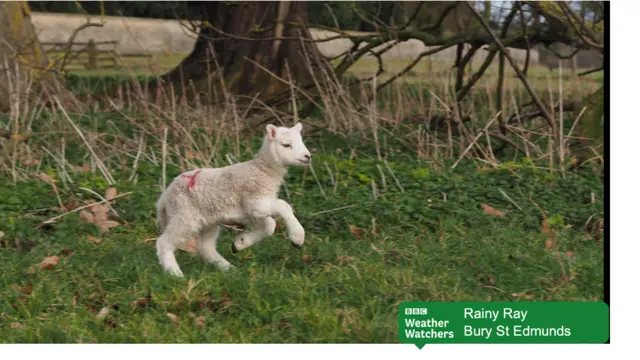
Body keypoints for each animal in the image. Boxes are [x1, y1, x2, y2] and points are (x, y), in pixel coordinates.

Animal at [156, 122, 314, 278]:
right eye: (286, 145)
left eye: (301, 141)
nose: (308, 156)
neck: (263, 171)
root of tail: (164, 196)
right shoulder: (254, 201)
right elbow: (284, 206)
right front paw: (297, 238)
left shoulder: (251, 211)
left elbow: (270, 225)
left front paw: (240, 243)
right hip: (185, 214)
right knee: (164, 242)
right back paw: (174, 273)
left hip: (208, 218)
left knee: (205, 246)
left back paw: (228, 268)